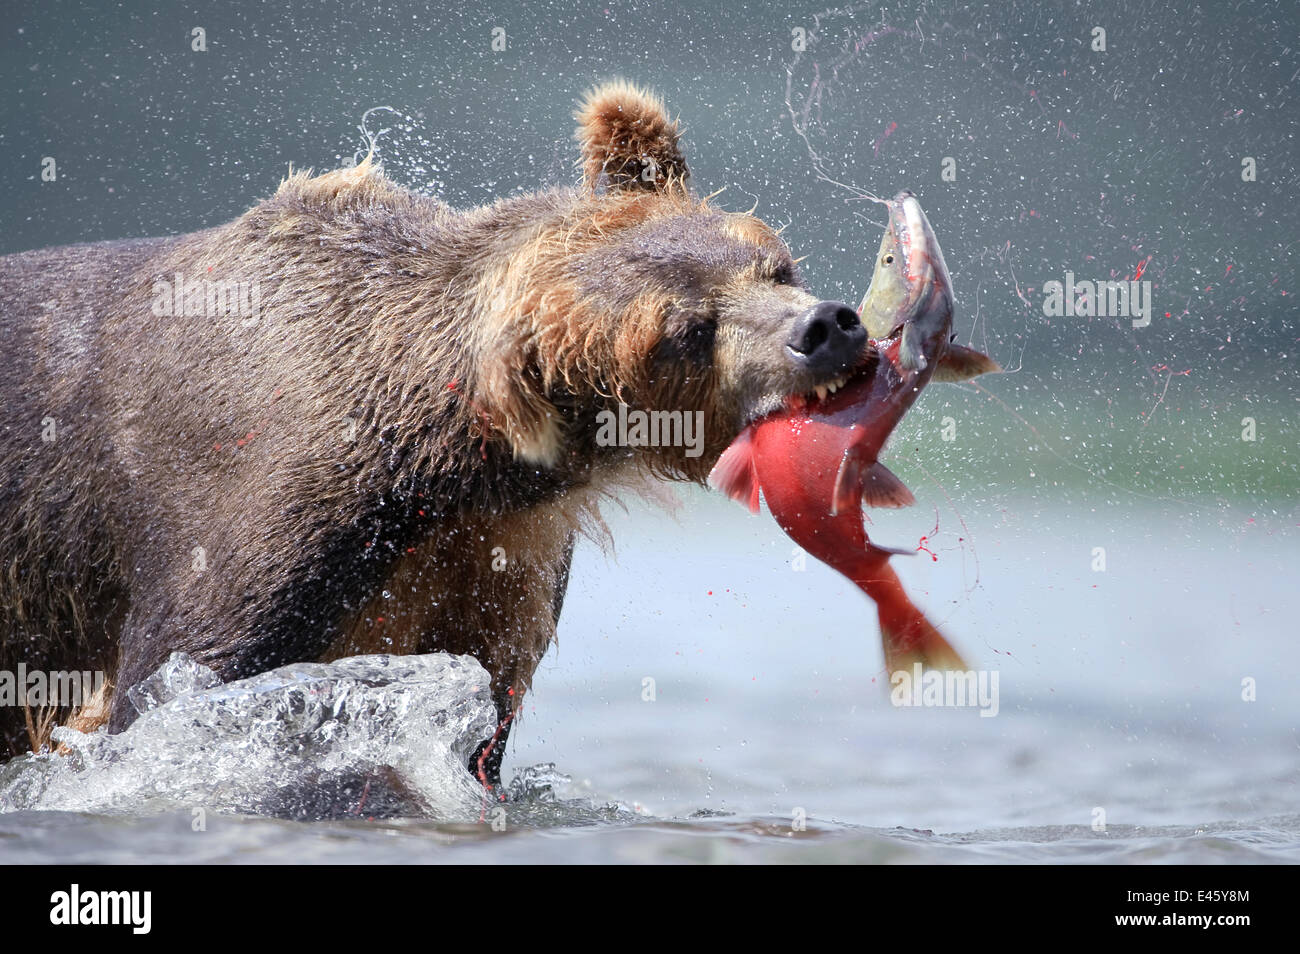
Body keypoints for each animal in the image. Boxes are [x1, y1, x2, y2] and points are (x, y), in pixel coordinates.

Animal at [2, 82, 873, 790]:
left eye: (772, 265)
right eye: (687, 331)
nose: (826, 327)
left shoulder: (493, 557)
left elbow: (480, 707)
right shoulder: (243, 513)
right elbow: (177, 685)